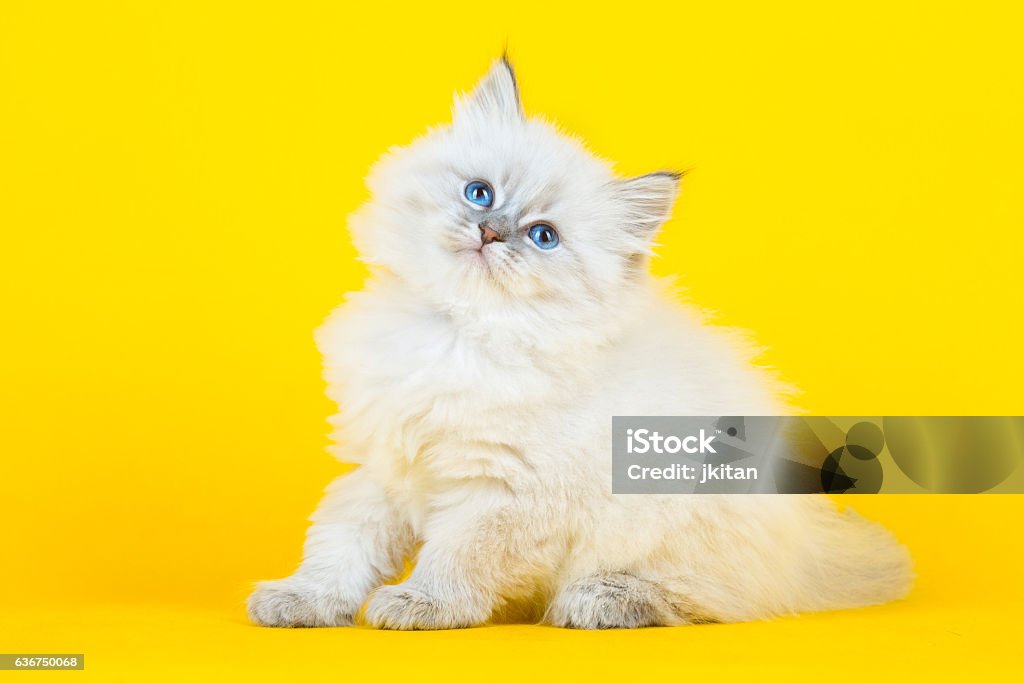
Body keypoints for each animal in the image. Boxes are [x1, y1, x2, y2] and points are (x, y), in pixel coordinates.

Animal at [247, 58, 913, 630]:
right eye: (479, 193)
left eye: (543, 236)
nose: (491, 232)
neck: (459, 333)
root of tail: (809, 551)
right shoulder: (383, 465)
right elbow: (339, 547)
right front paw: (302, 600)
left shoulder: (507, 489)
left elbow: (457, 556)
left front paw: (422, 604)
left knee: (711, 599)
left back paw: (601, 599)